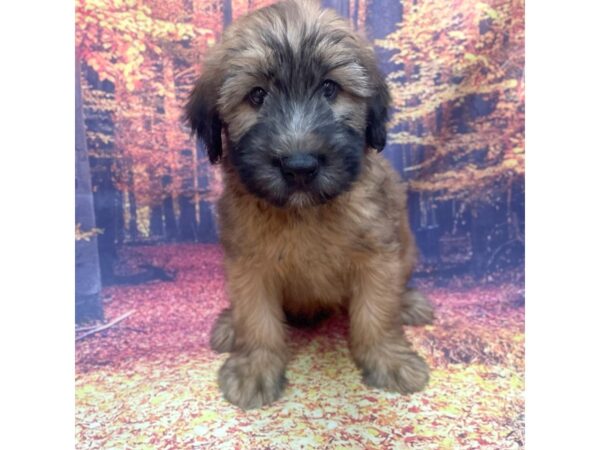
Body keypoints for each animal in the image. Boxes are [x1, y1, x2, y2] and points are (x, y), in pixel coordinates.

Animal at [185, 0, 434, 410]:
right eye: (257, 95)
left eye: (330, 88)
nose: (299, 166)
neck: (304, 213)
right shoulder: (248, 264)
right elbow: (257, 319)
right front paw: (255, 367)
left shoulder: (378, 256)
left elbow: (376, 314)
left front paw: (388, 358)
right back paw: (229, 324)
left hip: (408, 247)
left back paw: (409, 302)